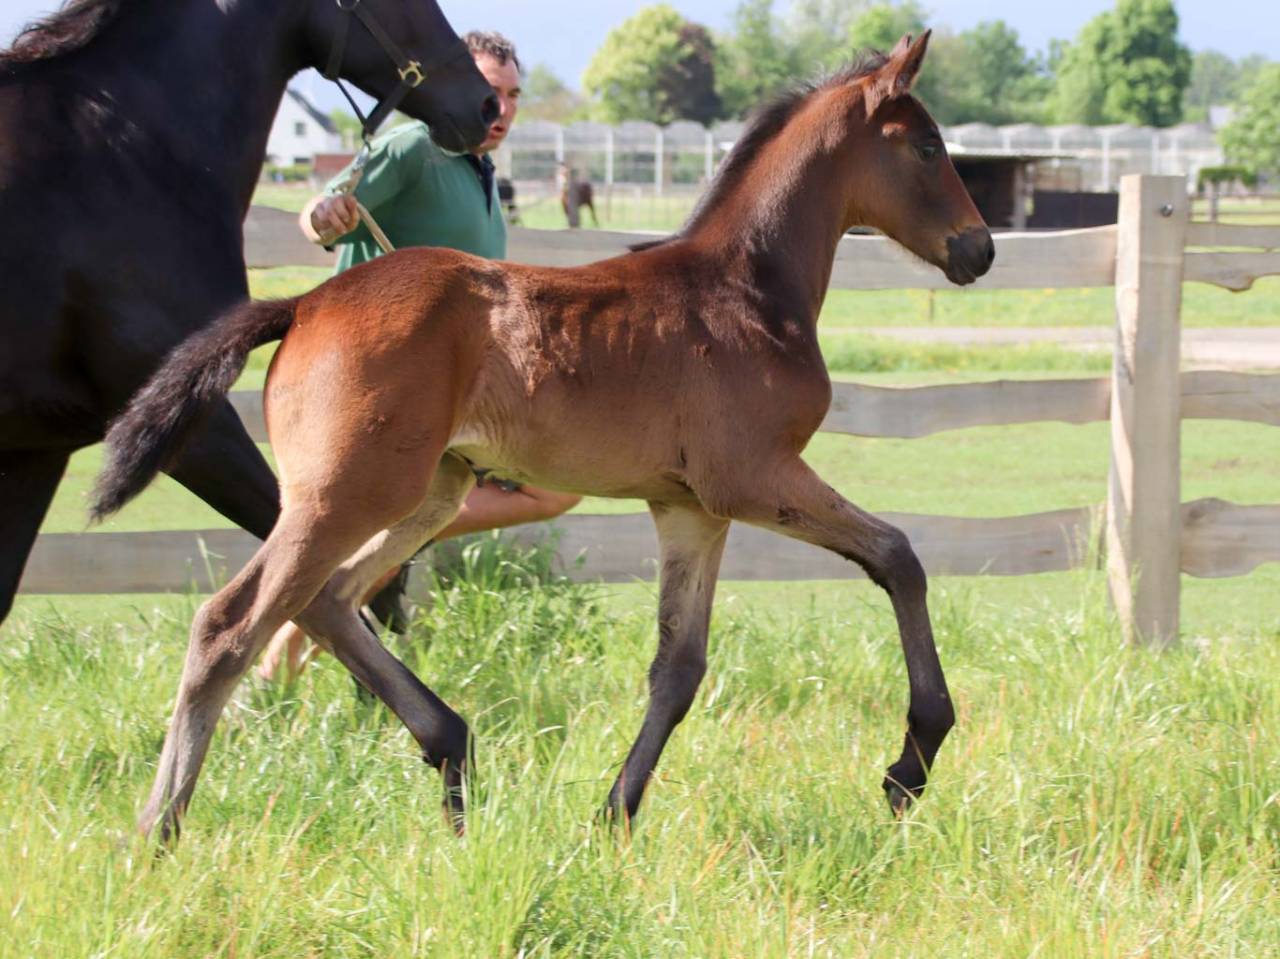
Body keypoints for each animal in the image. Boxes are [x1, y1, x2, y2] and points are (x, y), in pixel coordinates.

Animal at [94, 32, 994, 842]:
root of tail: (307, 303)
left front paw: (613, 817)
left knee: (330, 599)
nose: (979, 249)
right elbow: (898, 556)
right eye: (928, 145)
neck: (747, 290)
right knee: (231, 623)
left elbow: (679, 668)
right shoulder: (755, 476)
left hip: (428, 491)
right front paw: (912, 760)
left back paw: (452, 755)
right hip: (345, 494)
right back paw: (157, 830)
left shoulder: (691, 509)